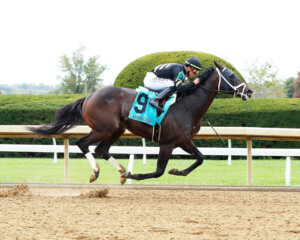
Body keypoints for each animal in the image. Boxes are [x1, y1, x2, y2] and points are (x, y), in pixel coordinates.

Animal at [28, 61, 253, 184]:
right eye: (231, 75)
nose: (249, 91)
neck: (187, 106)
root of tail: (89, 96)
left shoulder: (184, 141)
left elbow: (200, 158)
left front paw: (177, 171)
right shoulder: (167, 143)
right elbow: (159, 171)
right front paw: (134, 175)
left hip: (117, 129)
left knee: (102, 149)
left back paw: (121, 171)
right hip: (104, 128)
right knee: (83, 143)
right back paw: (97, 172)